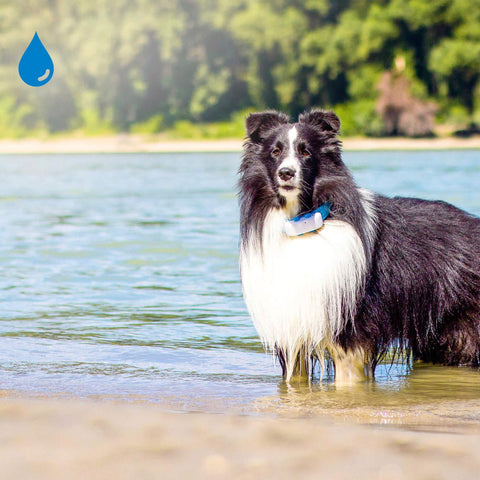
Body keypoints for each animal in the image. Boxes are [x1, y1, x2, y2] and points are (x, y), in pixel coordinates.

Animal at [240, 109, 480, 382]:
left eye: (306, 152)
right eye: (275, 151)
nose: (286, 173)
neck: (303, 223)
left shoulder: (350, 335)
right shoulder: (293, 335)